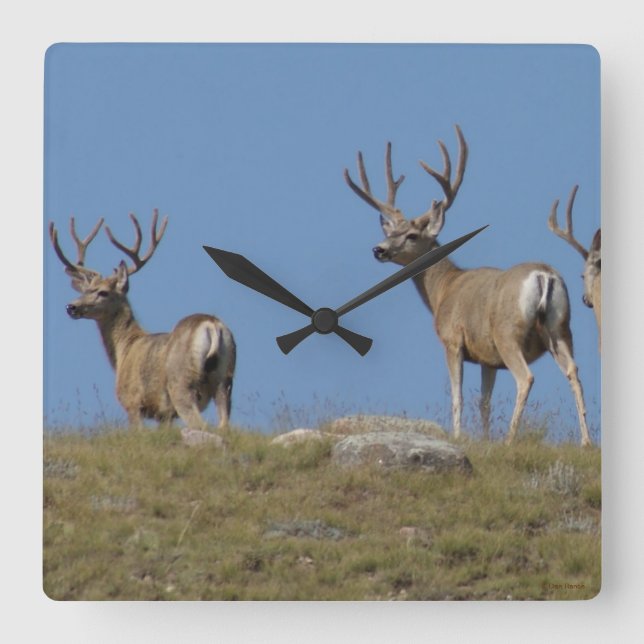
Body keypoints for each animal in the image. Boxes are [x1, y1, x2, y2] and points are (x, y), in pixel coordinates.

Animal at [49, 211, 236, 438]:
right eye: (85, 290)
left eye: (103, 292)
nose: (71, 307)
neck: (125, 348)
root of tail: (211, 324)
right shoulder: (164, 415)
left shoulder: (132, 401)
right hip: (225, 379)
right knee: (224, 423)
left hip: (181, 383)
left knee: (199, 423)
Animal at [344, 125, 591, 446]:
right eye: (390, 231)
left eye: (411, 235)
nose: (379, 249)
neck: (443, 289)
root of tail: (544, 275)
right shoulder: (488, 357)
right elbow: (484, 401)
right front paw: (484, 439)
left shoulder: (453, 340)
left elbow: (457, 396)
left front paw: (459, 436)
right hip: (560, 328)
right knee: (574, 371)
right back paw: (586, 440)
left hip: (508, 332)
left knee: (525, 378)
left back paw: (510, 439)